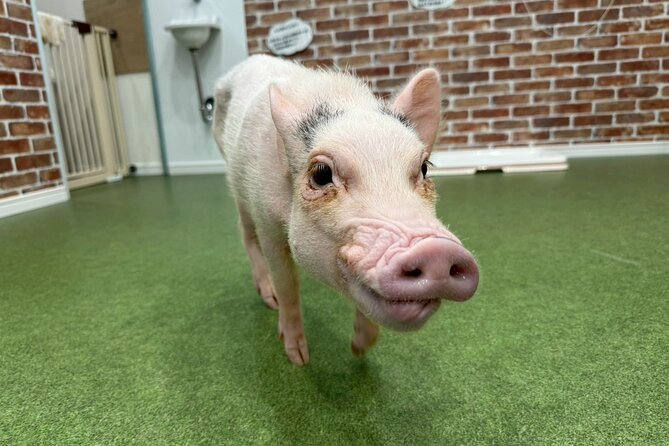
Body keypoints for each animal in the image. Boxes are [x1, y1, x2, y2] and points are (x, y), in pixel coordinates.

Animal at [213, 55, 479, 365]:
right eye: (321, 174)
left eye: (424, 167)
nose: (436, 250)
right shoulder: (267, 222)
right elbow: (288, 285)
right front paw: (299, 359)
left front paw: (360, 350)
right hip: (237, 187)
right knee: (246, 235)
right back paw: (269, 300)